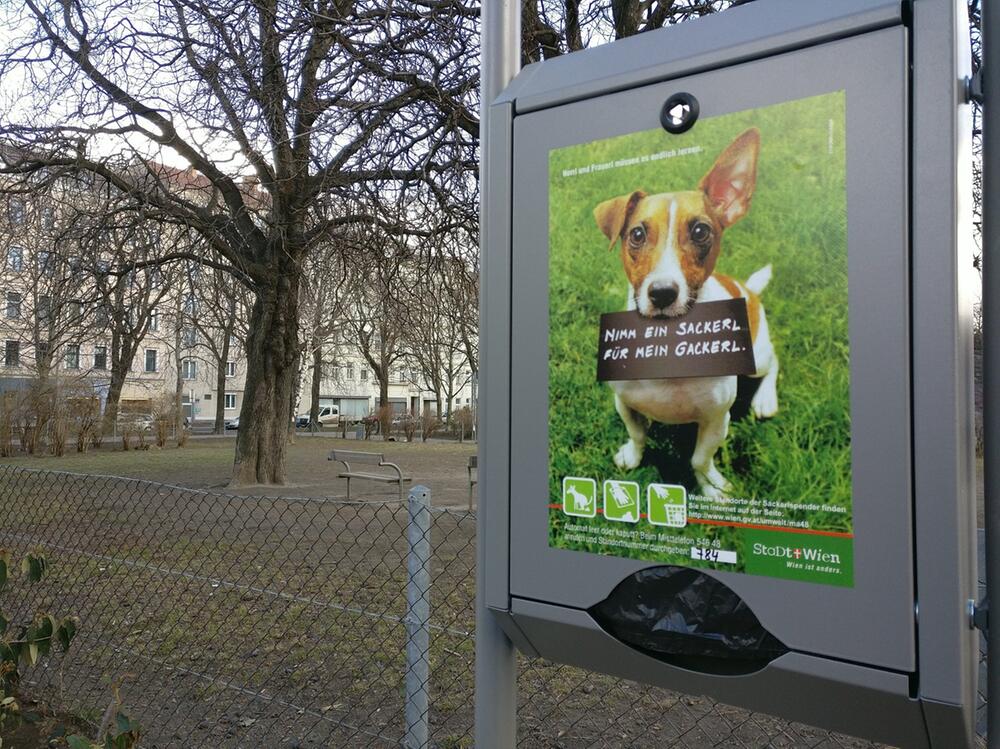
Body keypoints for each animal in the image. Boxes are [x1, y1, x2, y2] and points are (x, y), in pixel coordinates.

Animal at [592, 129, 780, 496]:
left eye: (700, 231)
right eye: (637, 234)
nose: (662, 292)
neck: (668, 346)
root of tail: (747, 289)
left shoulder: (716, 420)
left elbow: (699, 460)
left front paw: (711, 488)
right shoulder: (624, 402)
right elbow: (637, 434)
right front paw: (632, 455)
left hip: (758, 356)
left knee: (774, 362)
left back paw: (765, 399)